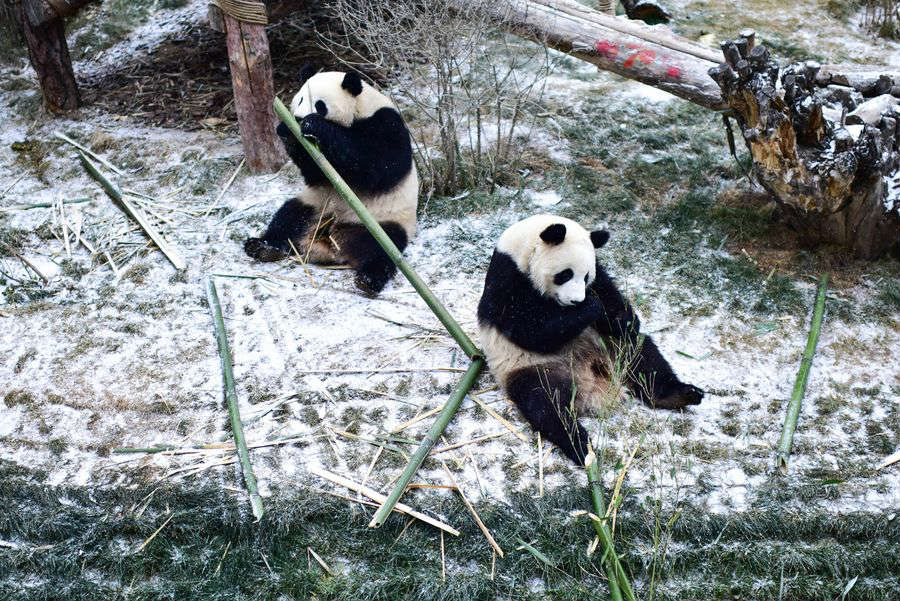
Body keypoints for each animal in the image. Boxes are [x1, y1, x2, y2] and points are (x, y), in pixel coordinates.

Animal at [244, 65, 418, 295]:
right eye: (300, 99)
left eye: (319, 105)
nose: (298, 117)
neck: (359, 109)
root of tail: (329, 243)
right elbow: (315, 173)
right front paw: (287, 129)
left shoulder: (385, 123)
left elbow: (378, 166)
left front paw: (314, 125)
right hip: (314, 206)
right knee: (289, 217)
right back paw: (263, 247)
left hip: (383, 221)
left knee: (383, 249)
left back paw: (369, 279)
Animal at [477, 214, 703, 465]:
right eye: (565, 274)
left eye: (586, 276)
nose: (576, 300)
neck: (523, 247)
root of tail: (591, 385)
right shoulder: (507, 279)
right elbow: (529, 329)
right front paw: (591, 307)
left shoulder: (598, 271)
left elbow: (611, 296)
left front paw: (622, 319)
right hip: (534, 369)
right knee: (546, 406)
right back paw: (581, 446)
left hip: (613, 347)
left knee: (644, 357)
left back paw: (680, 394)